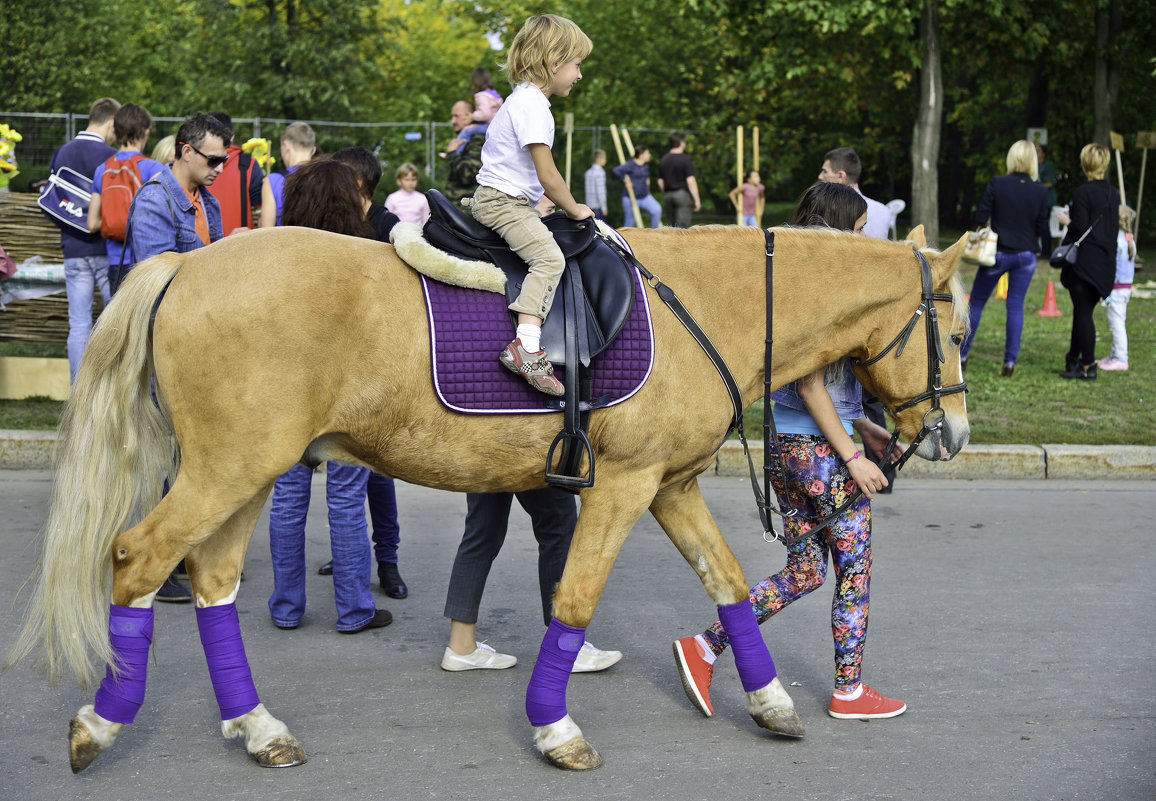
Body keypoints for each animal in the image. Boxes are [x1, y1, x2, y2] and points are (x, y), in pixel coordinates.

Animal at [6, 221, 966, 772]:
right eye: (956, 331)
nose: (953, 431)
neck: (701, 301)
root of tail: (184, 262)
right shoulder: (622, 486)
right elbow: (574, 598)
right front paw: (555, 727)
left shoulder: (672, 486)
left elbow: (728, 581)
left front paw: (767, 701)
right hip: (225, 471)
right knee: (138, 558)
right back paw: (100, 722)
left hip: (246, 472)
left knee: (211, 581)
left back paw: (256, 724)